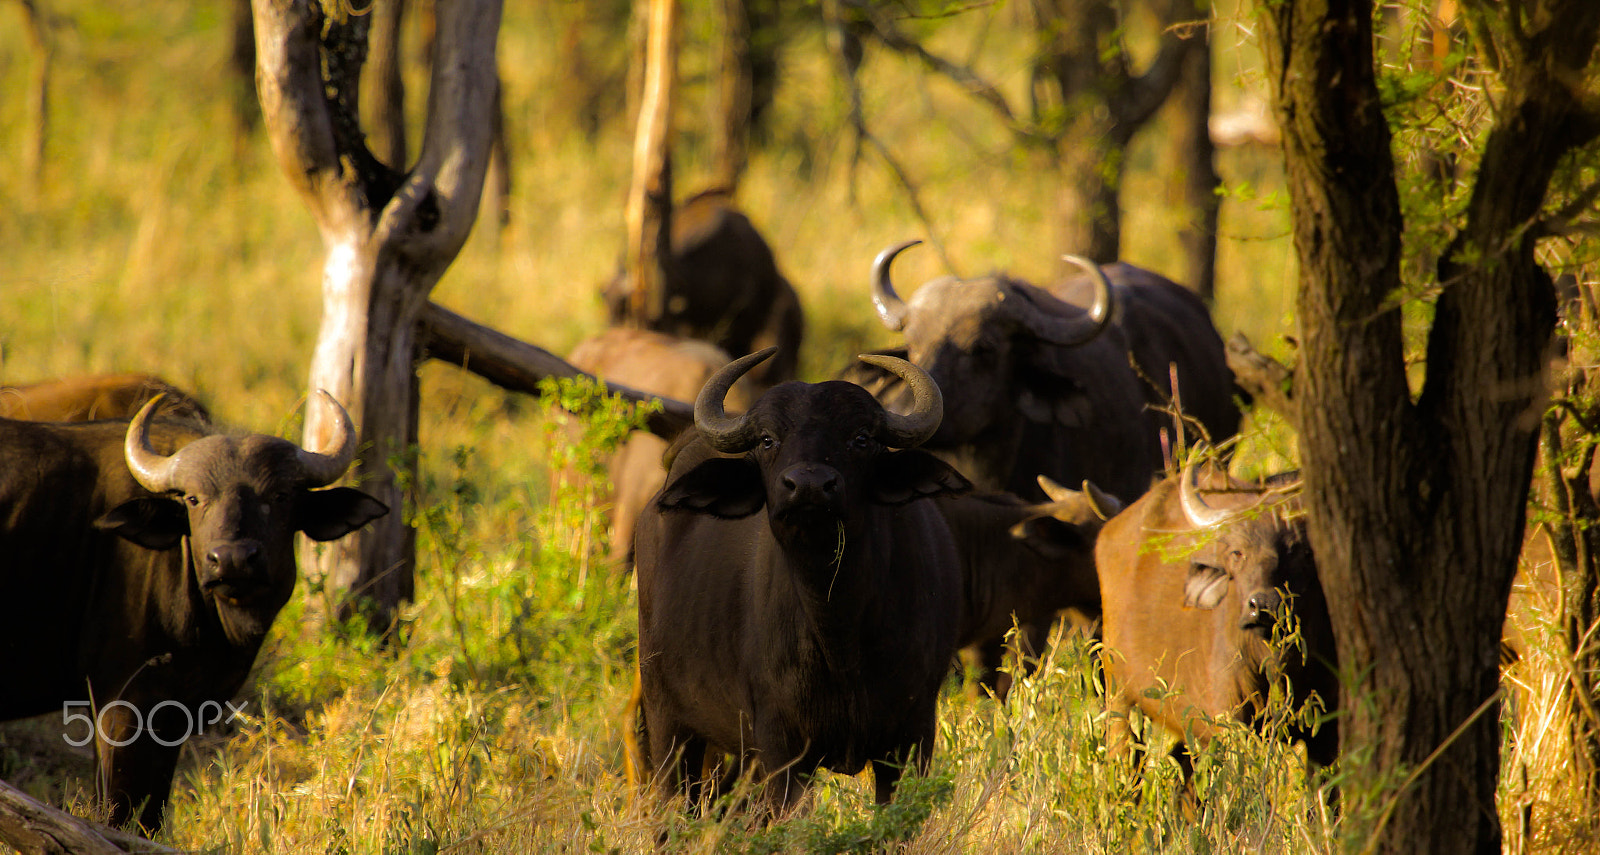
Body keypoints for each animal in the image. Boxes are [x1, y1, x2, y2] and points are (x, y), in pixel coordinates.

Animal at [0, 392, 388, 833]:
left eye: (280, 496)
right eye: (194, 499)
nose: (232, 559)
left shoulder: (173, 716)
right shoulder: (122, 704)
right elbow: (120, 812)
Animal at [634, 347, 970, 811]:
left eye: (861, 438)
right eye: (766, 439)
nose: (809, 486)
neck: (839, 630)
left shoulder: (912, 735)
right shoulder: (782, 745)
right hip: (667, 721)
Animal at [1095, 457, 1337, 801]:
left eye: (1300, 551)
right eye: (1238, 553)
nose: (1261, 605)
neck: (1277, 660)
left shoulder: (1327, 729)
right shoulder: (1233, 723)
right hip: (1119, 695)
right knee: (1126, 772)